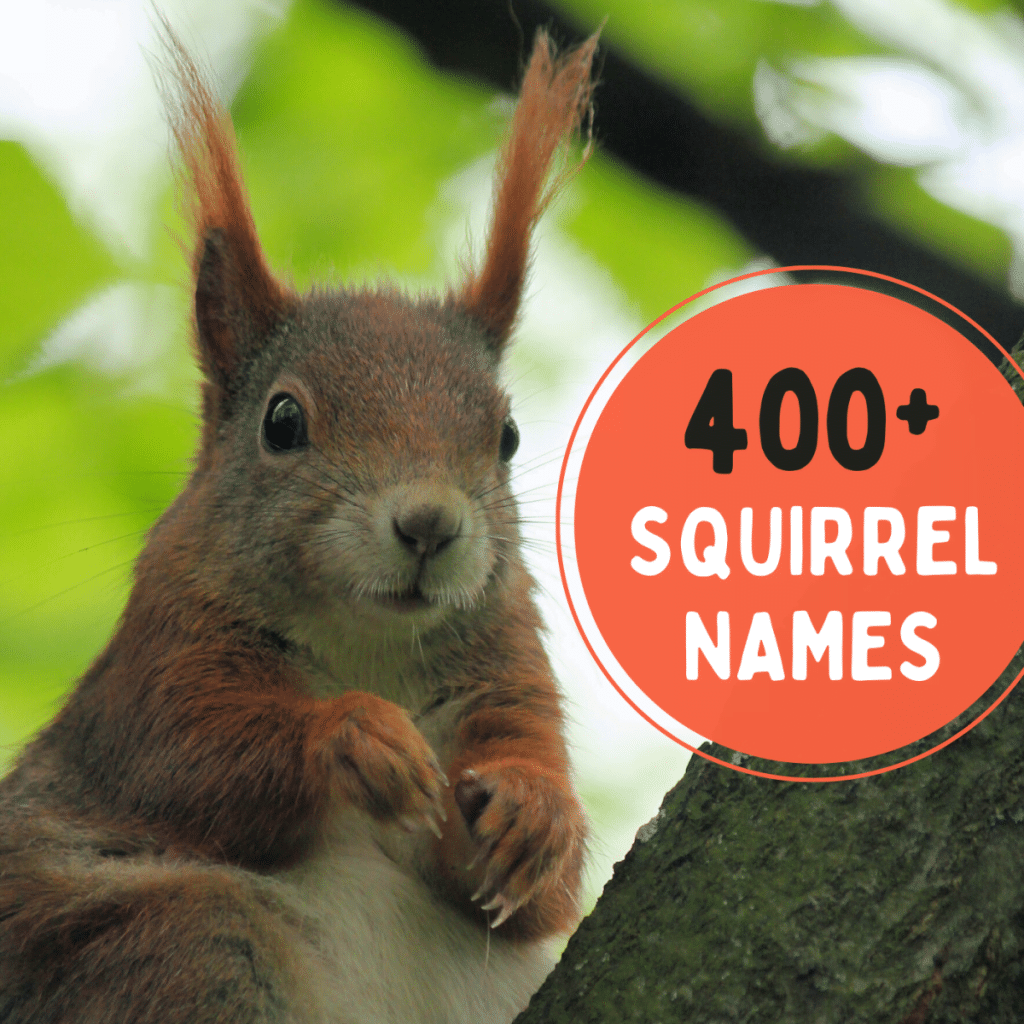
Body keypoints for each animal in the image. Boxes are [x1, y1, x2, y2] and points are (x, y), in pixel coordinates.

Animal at [0, 24, 597, 1024]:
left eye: (507, 436)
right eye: (283, 422)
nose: (430, 524)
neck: (366, 644)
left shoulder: (512, 665)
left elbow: (540, 892)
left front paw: (534, 812)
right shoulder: (159, 655)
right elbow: (188, 761)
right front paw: (353, 736)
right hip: (178, 941)